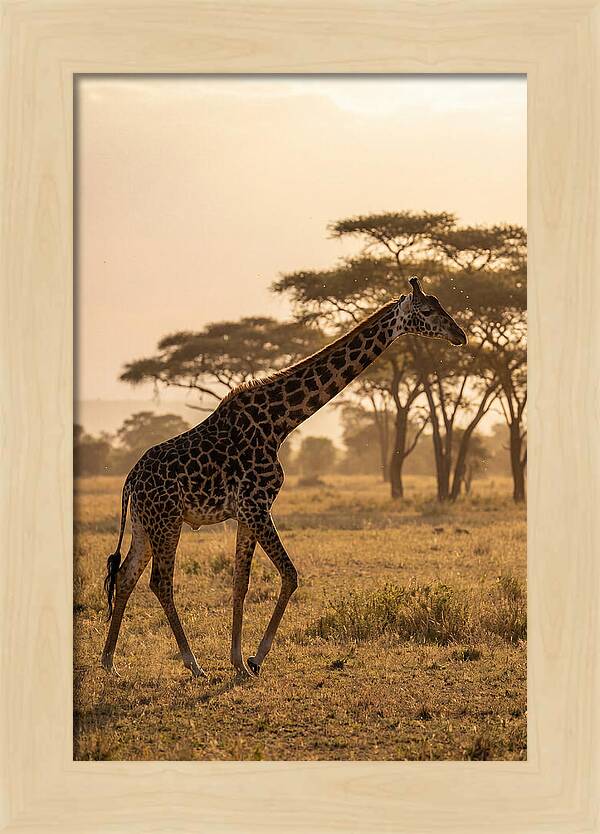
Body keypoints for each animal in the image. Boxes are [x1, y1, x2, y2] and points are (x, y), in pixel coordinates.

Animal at [100, 277, 467, 678]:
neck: (279, 423)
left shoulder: (247, 512)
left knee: (125, 576)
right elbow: (290, 575)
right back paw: (192, 664)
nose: (460, 335)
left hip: (144, 524)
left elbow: (240, 582)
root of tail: (130, 480)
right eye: (428, 311)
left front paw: (238, 661)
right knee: (160, 582)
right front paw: (255, 658)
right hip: (167, 521)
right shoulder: (256, 505)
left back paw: (109, 662)